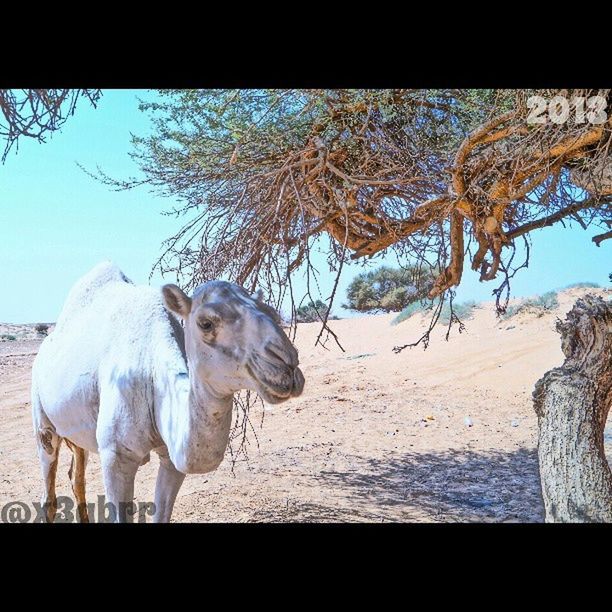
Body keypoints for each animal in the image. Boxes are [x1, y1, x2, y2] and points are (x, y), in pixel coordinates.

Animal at [31, 262, 304, 520]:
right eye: (206, 323)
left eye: (272, 312)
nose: (287, 365)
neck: (151, 370)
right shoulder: (115, 456)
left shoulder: (171, 459)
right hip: (43, 421)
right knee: (49, 488)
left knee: (77, 477)